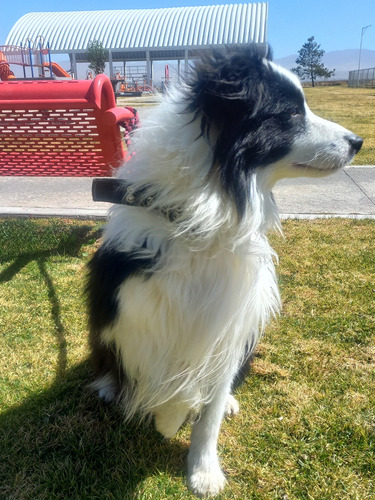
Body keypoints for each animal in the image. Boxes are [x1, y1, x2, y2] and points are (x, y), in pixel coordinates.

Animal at [86, 47, 362, 496]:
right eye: (290, 113)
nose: (358, 142)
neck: (205, 215)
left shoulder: (235, 317)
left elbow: (207, 403)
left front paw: (203, 469)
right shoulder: (133, 307)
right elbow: (165, 374)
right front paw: (167, 418)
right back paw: (114, 387)